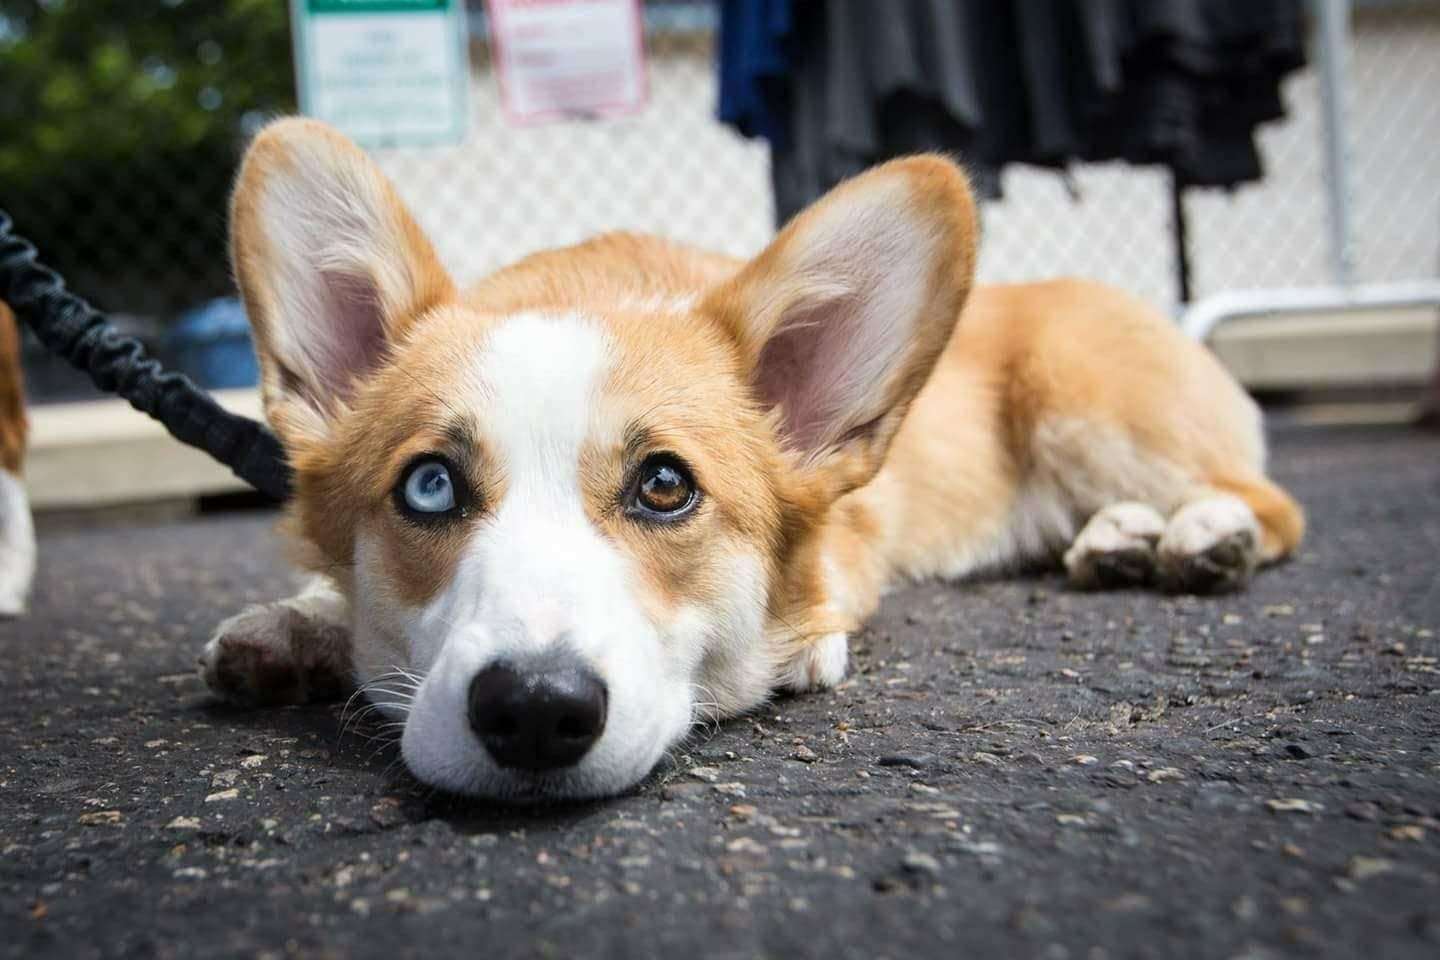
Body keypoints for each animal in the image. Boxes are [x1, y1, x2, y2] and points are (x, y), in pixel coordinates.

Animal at [205, 120, 1307, 805]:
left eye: (665, 486)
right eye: (429, 486)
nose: (532, 712)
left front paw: (802, 650)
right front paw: (298, 624)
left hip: (1084, 404)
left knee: (1266, 500)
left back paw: (1199, 533)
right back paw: (1120, 538)